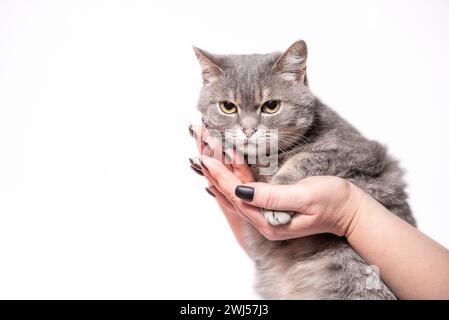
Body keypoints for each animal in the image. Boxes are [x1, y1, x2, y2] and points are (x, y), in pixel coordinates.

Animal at [194, 40, 414, 300]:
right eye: (228, 107)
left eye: (271, 106)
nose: (248, 130)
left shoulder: (355, 152)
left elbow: (303, 159)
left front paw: (276, 201)